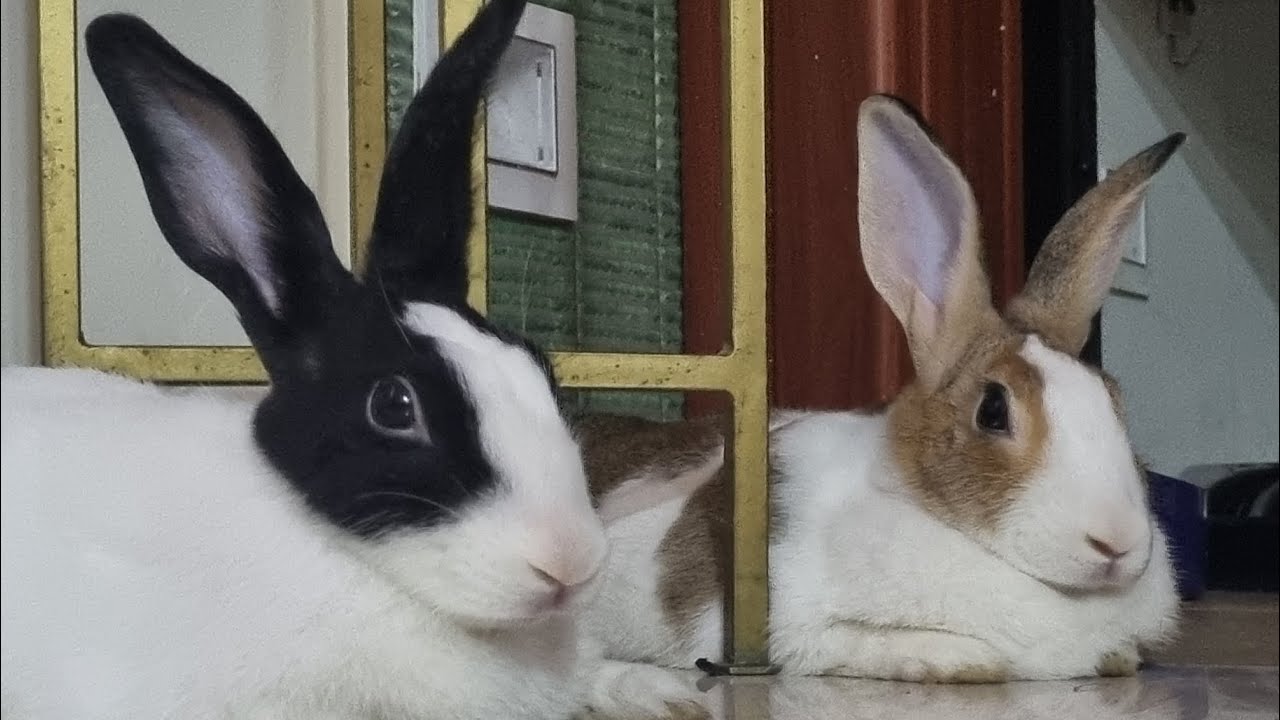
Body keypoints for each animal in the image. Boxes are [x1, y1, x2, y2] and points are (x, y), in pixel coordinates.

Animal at [573, 94, 1185, 683]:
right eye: (992, 410)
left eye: (1116, 401)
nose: (1119, 541)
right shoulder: (786, 631)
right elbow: (867, 644)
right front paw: (959, 661)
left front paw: (1116, 658)